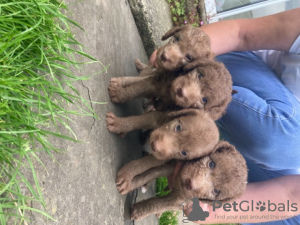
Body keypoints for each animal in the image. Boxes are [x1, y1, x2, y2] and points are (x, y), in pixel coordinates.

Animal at [116, 142, 247, 221]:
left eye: (216, 191)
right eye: (211, 164)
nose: (191, 183)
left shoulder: (181, 200)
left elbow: (157, 204)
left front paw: (138, 211)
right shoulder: (170, 167)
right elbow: (149, 174)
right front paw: (130, 183)